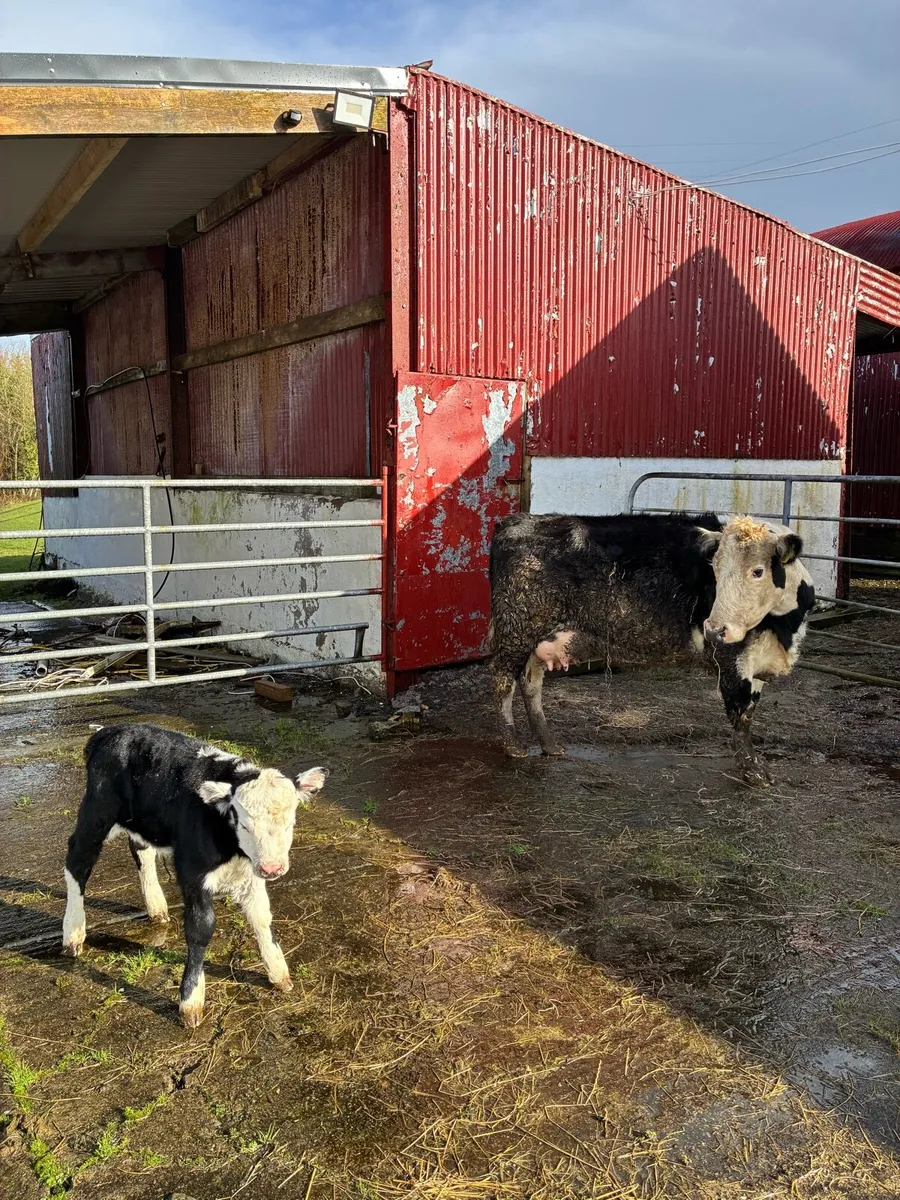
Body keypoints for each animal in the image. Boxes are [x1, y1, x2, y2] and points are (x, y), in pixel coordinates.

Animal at [62, 724, 327, 1027]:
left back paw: (156, 907)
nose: (272, 868)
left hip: (142, 820)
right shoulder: (192, 872)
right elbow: (200, 929)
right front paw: (191, 1001)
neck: (230, 844)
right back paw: (73, 933)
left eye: (290, 822)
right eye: (245, 825)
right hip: (97, 813)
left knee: (141, 849)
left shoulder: (251, 872)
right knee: (78, 860)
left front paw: (278, 972)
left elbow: (261, 917)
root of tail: (110, 731)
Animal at [488, 512, 815, 785]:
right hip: (516, 630)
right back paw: (512, 744)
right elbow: (741, 716)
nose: (713, 629)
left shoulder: (756, 665)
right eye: (715, 570)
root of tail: (519, 521)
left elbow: (749, 713)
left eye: (758, 571)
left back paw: (549, 743)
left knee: (531, 683)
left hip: (538, 638)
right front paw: (753, 771)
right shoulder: (732, 661)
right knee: (503, 680)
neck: (784, 628)